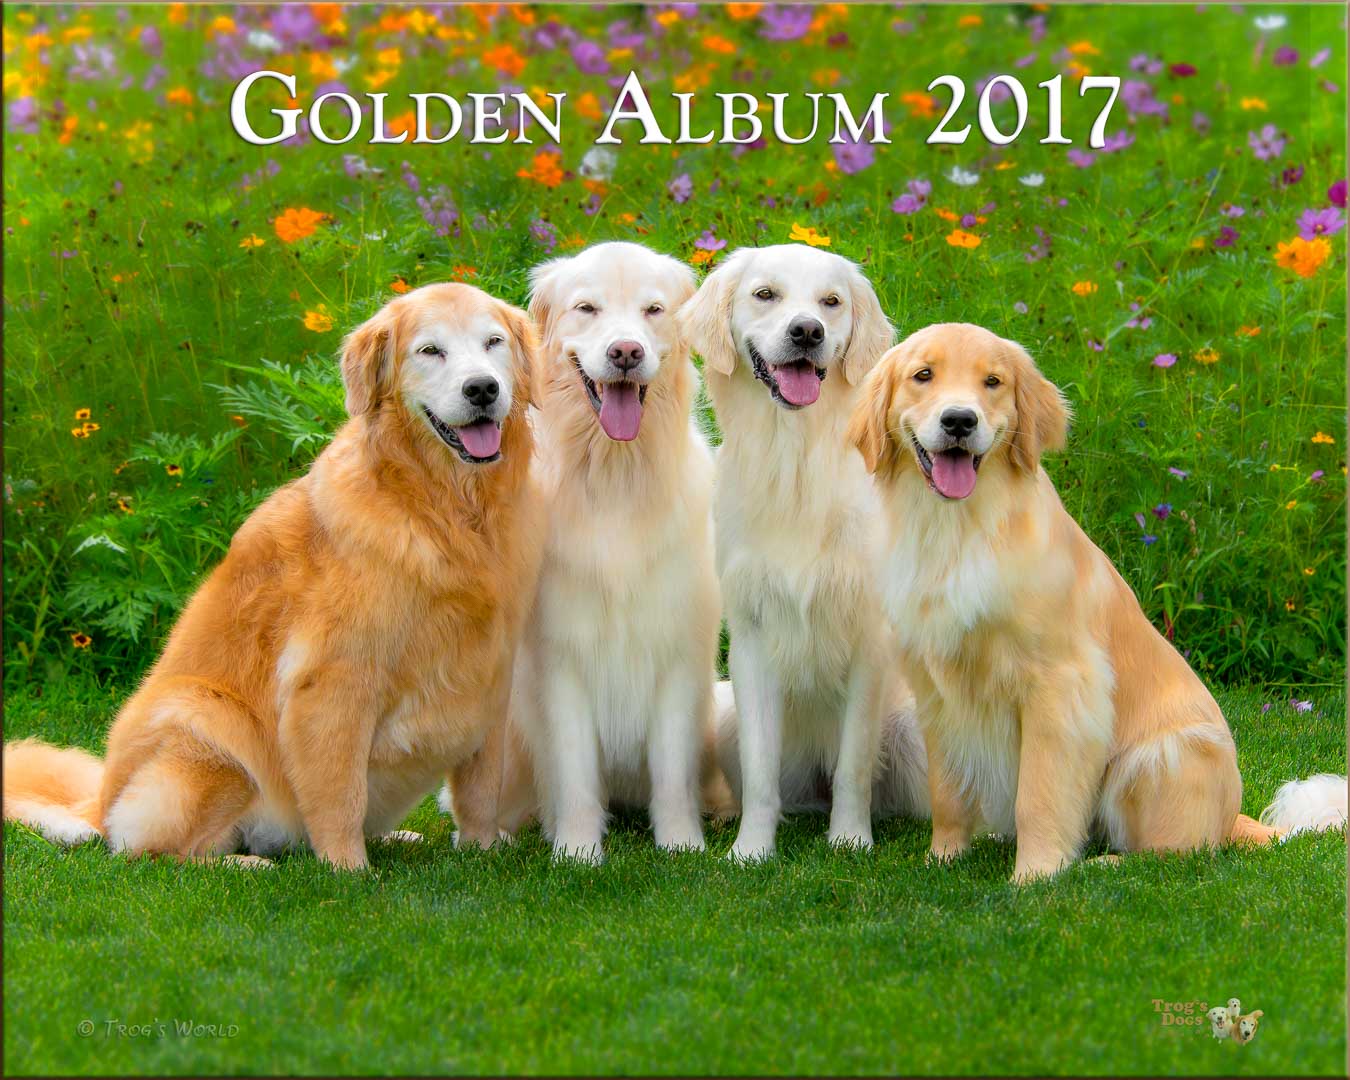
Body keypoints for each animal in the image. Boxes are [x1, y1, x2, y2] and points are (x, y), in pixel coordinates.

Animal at [685, 247, 928, 858]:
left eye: (831, 302)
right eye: (765, 294)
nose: (807, 331)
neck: (793, 459)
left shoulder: (869, 638)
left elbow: (854, 766)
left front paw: (850, 840)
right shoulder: (750, 634)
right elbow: (761, 770)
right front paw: (750, 849)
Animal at [847, 325, 1344, 880]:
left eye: (993, 382)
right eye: (923, 375)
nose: (960, 420)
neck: (958, 531)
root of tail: (1232, 818)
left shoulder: (1061, 686)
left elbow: (1039, 795)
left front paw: (1036, 874)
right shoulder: (937, 688)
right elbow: (947, 792)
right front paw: (942, 858)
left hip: (1161, 755)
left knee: (1177, 852)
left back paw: (1101, 863)